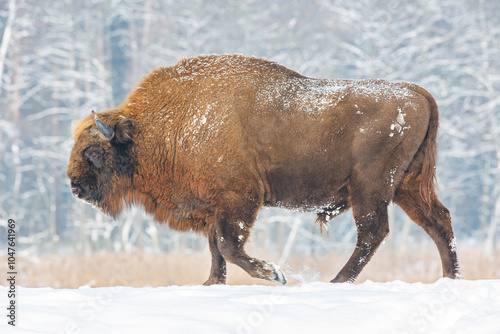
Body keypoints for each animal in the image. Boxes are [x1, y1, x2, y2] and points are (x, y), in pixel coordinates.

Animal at [66, 54, 460, 284]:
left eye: (93, 152)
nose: (74, 186)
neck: (162, 126)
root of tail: (417, 93)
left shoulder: (239, 199)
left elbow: (228, 246)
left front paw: (273, 273)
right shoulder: (214, 207)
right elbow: (216, 247)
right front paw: (211, 284)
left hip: (372, 187)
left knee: (373, 233)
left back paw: (336, 281)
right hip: (406, 186)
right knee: (437, 222)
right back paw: (450, 278)